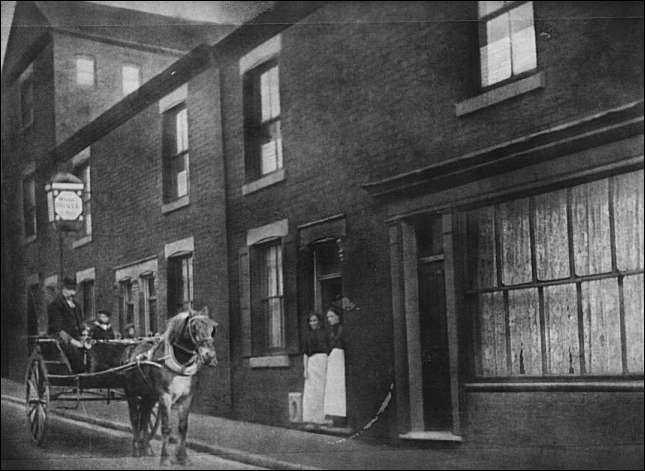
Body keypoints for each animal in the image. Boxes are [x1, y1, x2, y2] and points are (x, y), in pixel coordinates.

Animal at [121, 308, 219, 466]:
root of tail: (130, 347)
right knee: (135, 417)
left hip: (149, 395)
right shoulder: (164, 396)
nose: (210, 357)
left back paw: (146, 447)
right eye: (194, 327)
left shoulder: (187, 398)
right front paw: (165, 459)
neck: (180, 363)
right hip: (131, 392)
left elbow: (183, 427)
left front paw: (183, 457)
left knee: (145, 416)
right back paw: (136, 448)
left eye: (213, 328)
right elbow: (166, 428)